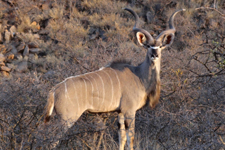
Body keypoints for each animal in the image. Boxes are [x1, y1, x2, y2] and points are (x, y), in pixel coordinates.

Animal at [44, 7, 185, 150]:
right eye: (148, 46)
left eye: (160, 46)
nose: (154, 55)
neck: (139, 75)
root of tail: (54, 90)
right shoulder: (129, 111)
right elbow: (130, 139)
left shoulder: (120, 113)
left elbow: (121, 138)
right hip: (67, 119)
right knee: (51, 140)